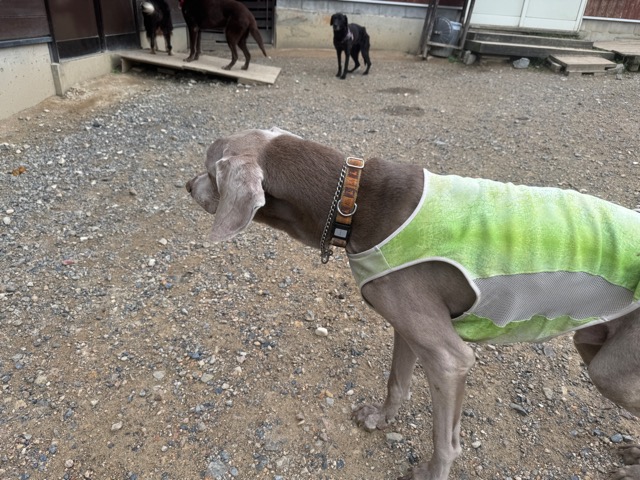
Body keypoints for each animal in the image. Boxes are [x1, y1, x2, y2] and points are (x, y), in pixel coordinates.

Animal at [186, 128, 640, 480]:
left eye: (210, 171)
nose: (186, 186)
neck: (355, 201)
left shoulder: (448, 358)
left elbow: (446, 440)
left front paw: (431, 471)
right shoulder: (407, 325)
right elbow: (397, 383)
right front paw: (379, 418)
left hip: (610, 370)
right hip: (595, 341)